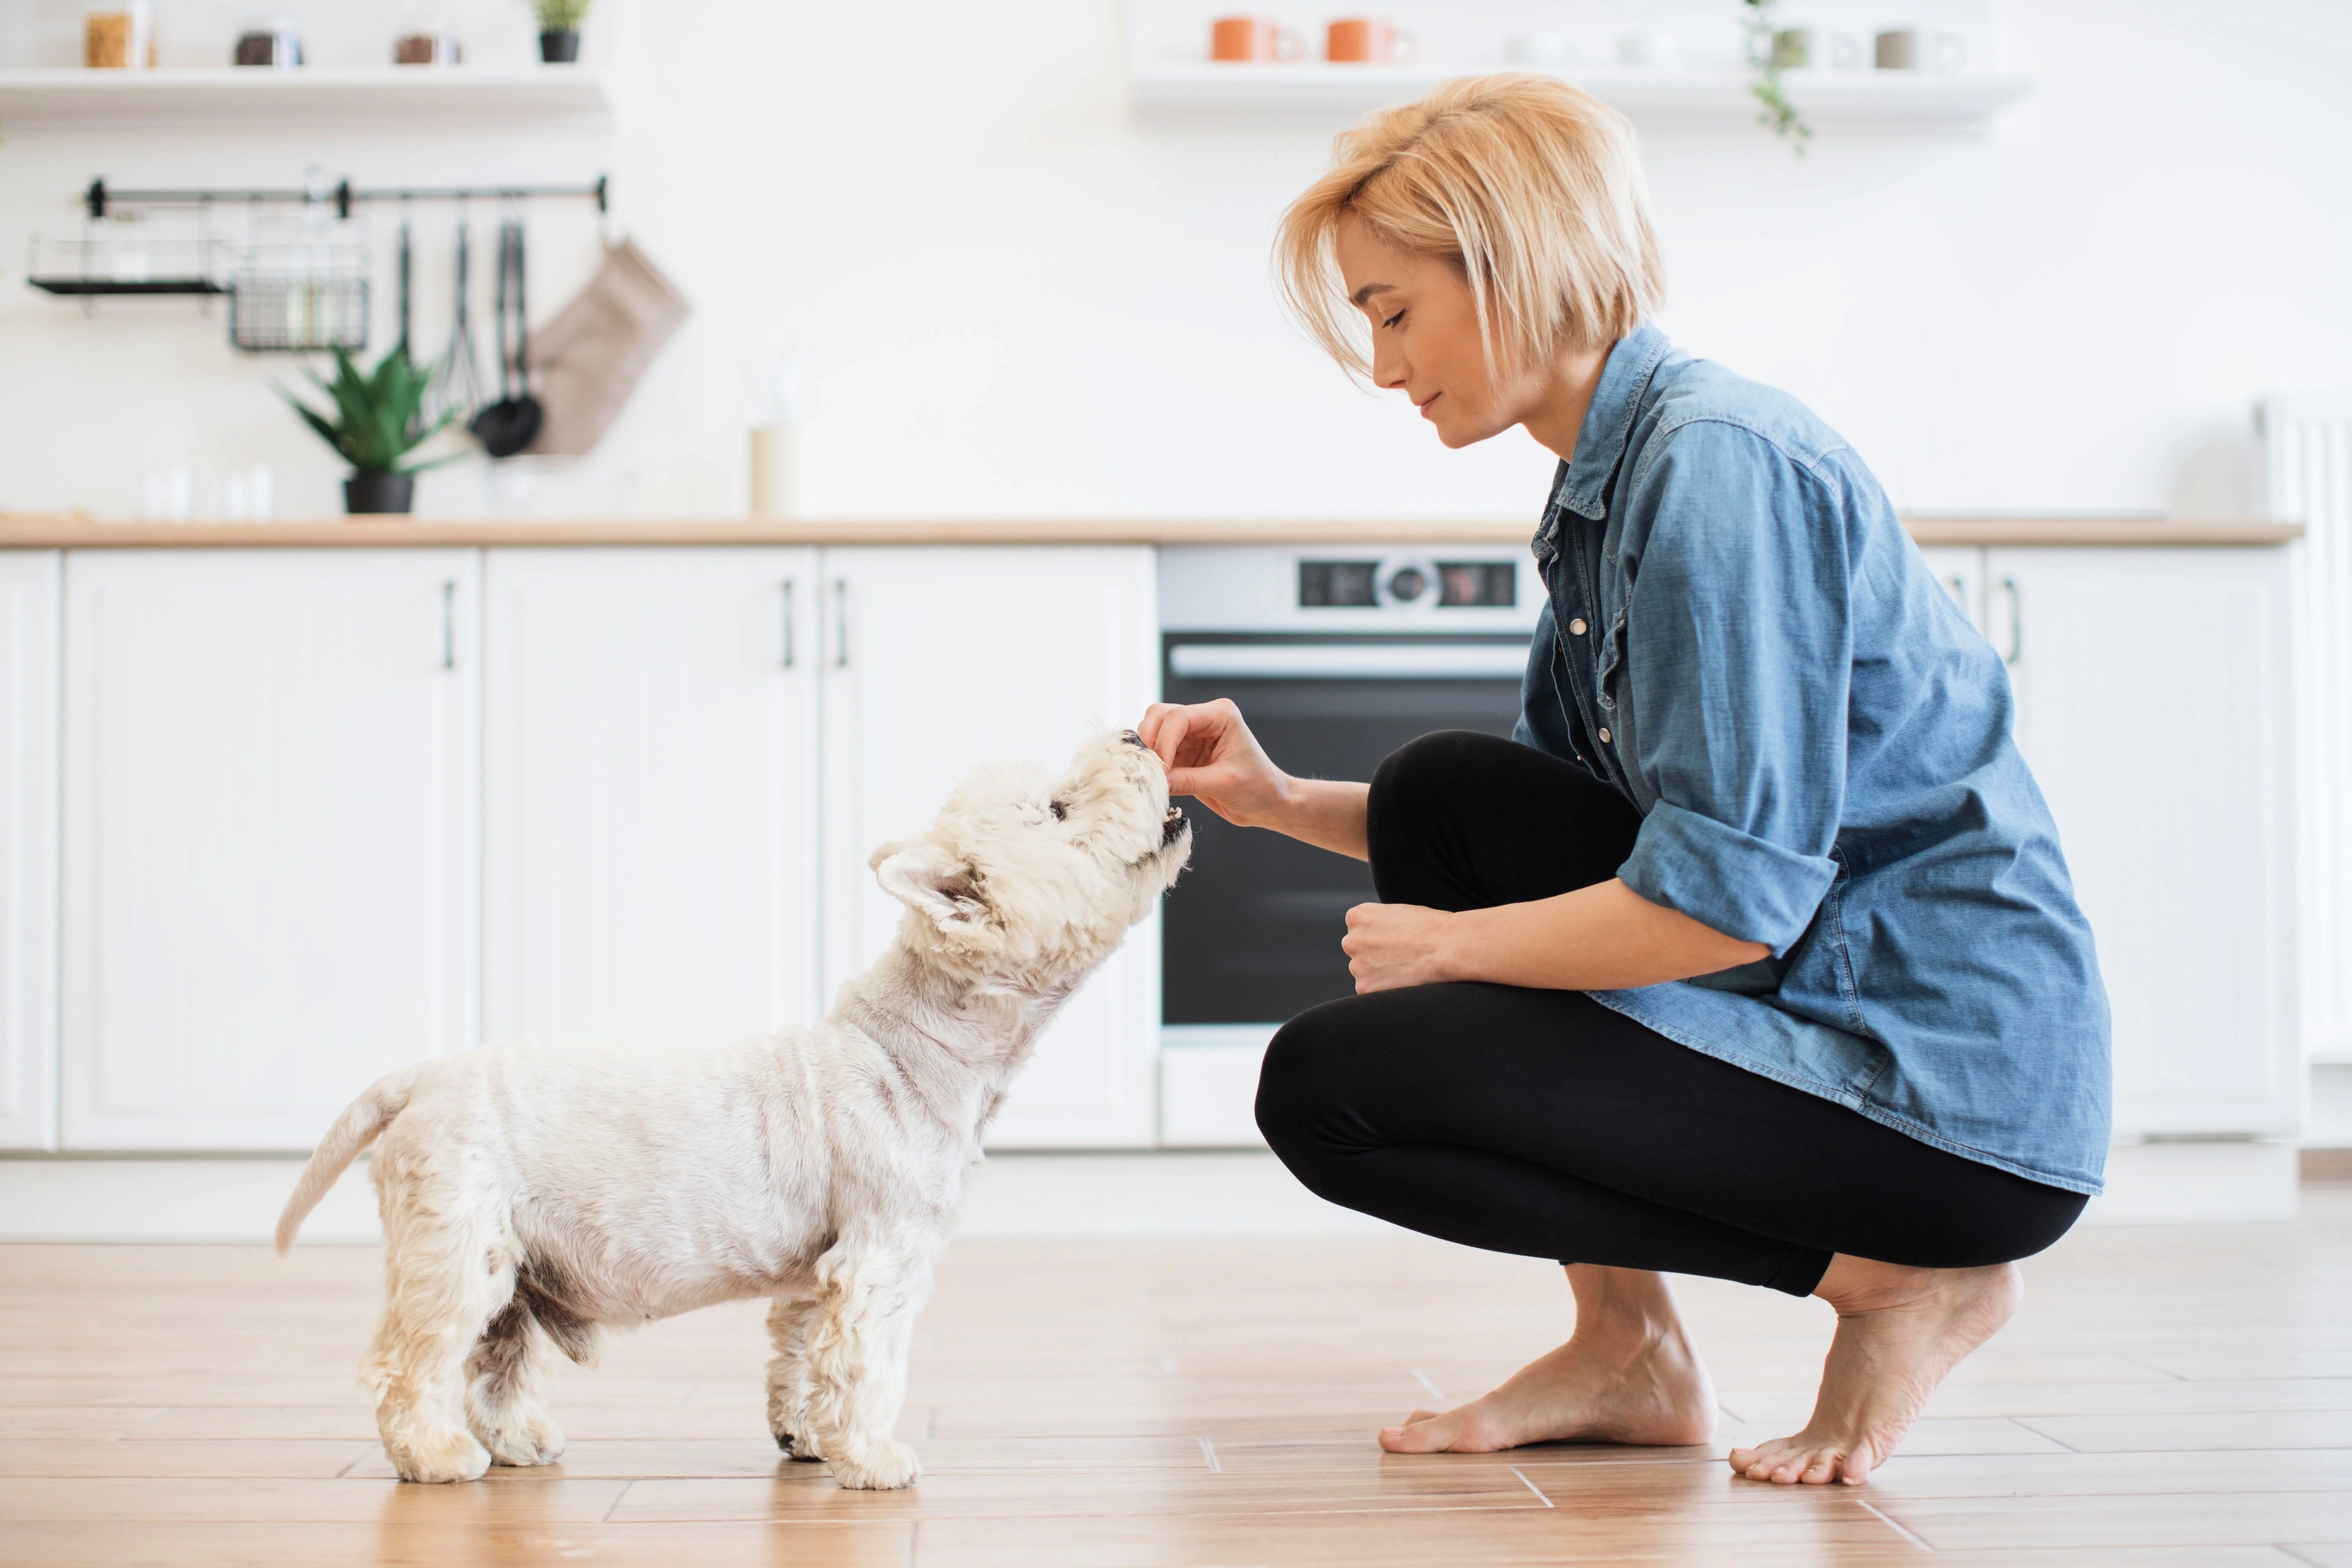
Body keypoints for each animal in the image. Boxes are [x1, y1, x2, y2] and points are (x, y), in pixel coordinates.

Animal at [277, 728, 1195, 1495]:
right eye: (1059, 809)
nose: (1135, 732)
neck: (914, 1044)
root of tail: (419, 1077)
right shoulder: (883, 1254)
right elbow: (867, 1364)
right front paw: (874, 1459)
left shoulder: (819, 1268)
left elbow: (799, 1352)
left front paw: (807, 1439)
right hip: (457, 1244)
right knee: (411, 1358)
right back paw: (435, 1457)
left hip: (512, 1258)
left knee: (497, 1354)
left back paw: (519, 1442)